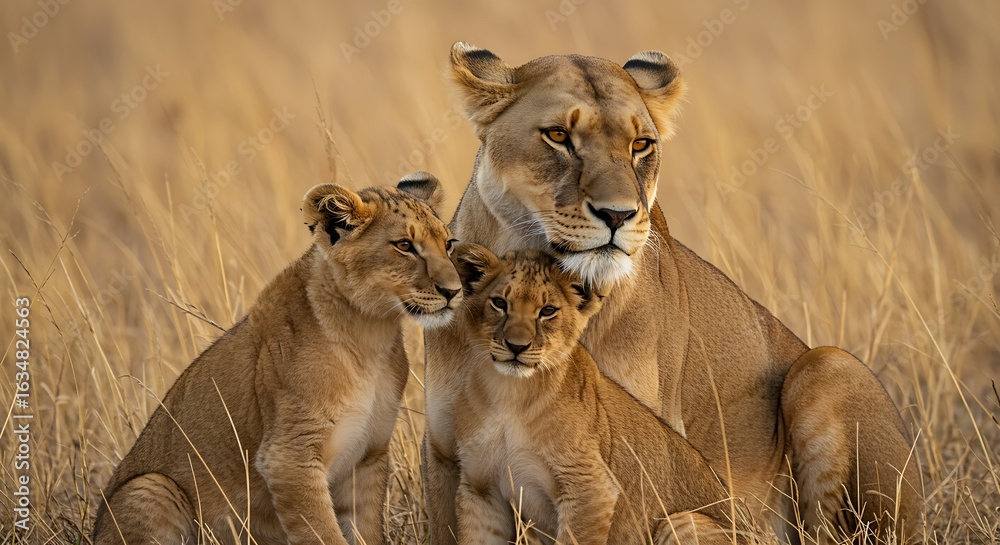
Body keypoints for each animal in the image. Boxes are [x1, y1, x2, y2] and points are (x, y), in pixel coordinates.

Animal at [93, 173, 462, 545]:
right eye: (404, 245)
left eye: (448, 244)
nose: (454, 291)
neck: (372, 334)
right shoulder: (288, 457)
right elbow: (323, 535)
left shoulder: (368, 458)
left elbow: (366, 533)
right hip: (151, 487)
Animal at [450, 246, 761, 545]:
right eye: (500, 303)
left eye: (548, 310)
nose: (516, 346)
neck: (509, 394)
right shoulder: (481, 491)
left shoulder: (591, 489)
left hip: (682, 521)